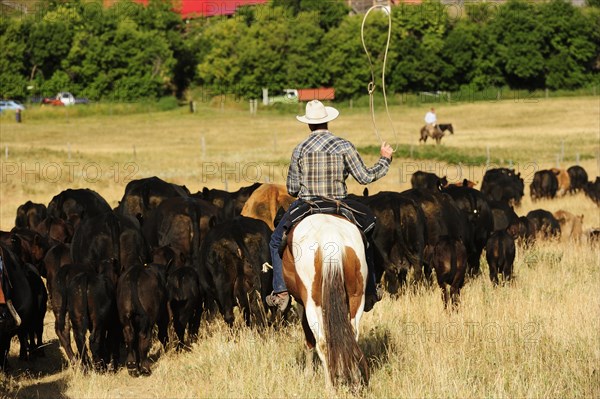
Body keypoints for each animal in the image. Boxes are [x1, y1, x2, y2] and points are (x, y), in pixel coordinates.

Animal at [282, 216, 370, 388]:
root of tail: (330, 236)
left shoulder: (301, 303)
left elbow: (309, 336)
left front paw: (308, 374)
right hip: (357, 296)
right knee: (352, 335)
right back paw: (354, 379)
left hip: (312, 303)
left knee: (322, 342)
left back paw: (329, 385)